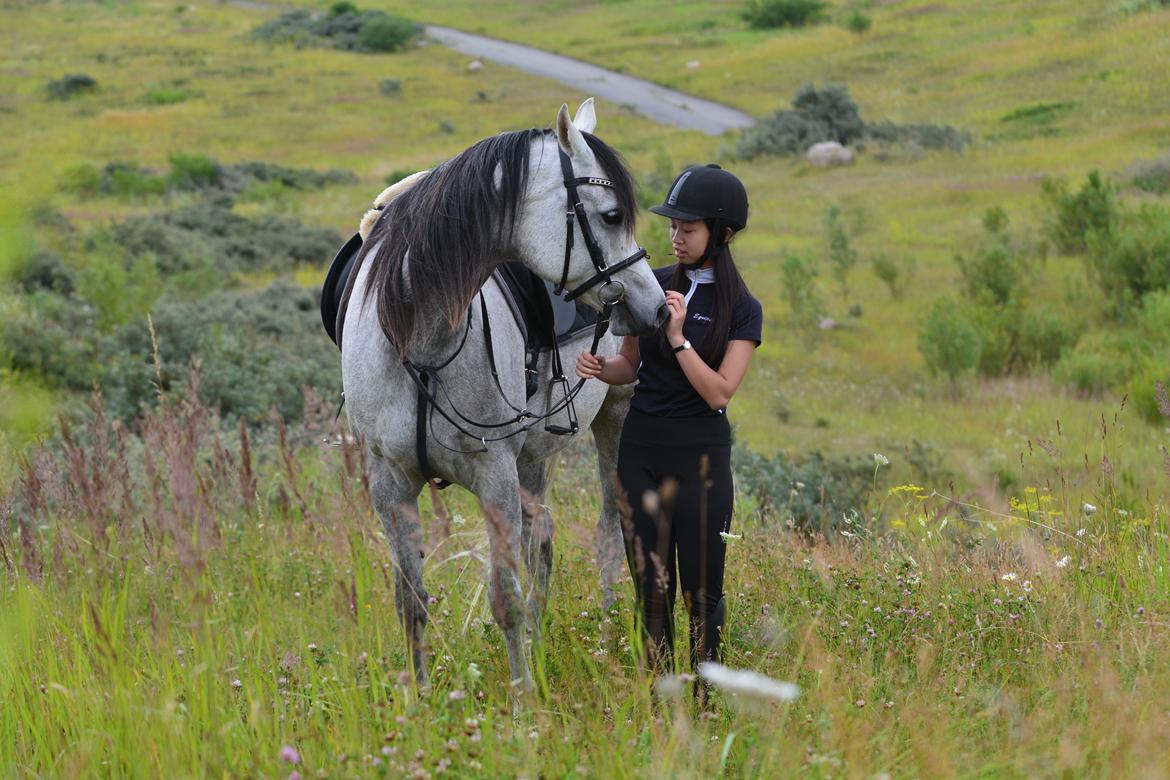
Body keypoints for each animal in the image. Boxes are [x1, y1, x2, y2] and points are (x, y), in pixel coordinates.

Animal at [339, 100, 669, 692]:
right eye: (611, 216)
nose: (655, 308)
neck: (421, 341)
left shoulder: (494, 479)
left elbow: (505, 600)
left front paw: (522, 701)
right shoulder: (389, 485)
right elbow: (411, 602)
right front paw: (421, 700)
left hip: (614, 416)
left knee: (611, 533)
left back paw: (611, 636)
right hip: (536, 456)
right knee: (543, 541)